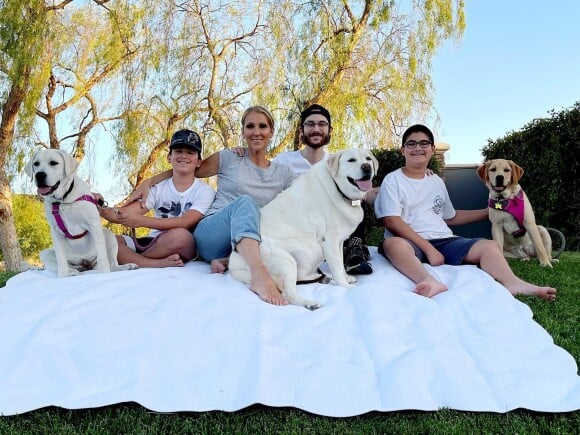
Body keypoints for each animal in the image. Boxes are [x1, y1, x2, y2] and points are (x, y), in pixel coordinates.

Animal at [25, 148, 138, 278]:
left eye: (53, 163)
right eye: (36, 164)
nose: (39, 175)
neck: (64, 200)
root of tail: (86, 264)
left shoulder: (93, 224)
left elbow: (102, 256)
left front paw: (105, 274)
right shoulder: (55, 231)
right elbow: (61, 259)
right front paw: (62, 276)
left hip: (109, 235)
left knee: (111, 265)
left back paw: (125, 266)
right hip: (45, 254)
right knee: (72, 267)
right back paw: (72, 272)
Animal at [229, 149, 378, 310]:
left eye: (368, 159)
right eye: (351, 160)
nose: (366, 167)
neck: (338, 189)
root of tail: (233, 264)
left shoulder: (338, 241)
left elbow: (340, 263)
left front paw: (346, 278)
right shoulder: (329, 240)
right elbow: (337, 266)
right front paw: (345, 286)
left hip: (310, 255)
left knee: (299, 278)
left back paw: (323, 277)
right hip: (287, 261)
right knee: (288, 293)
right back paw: (310, 302)